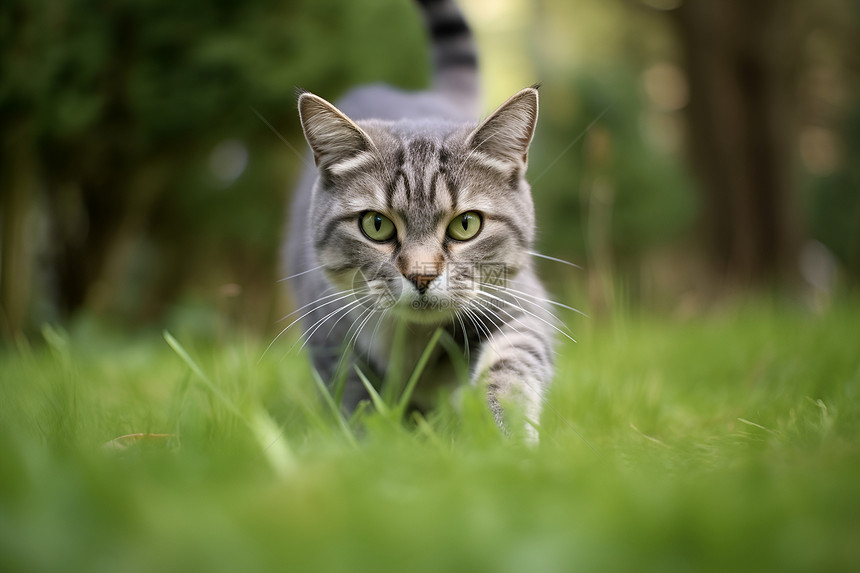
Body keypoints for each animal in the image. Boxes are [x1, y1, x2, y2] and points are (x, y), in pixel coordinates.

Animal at [286, 0, 556, 442]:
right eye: (376, 225)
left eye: (466, 225)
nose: (422, 275)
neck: (415, 337)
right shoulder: (329, 331)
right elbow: (355, 397)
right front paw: (374, 443)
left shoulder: (521, 301)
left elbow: (512, 363)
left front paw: (506, 437)